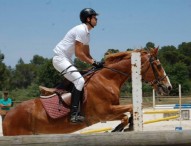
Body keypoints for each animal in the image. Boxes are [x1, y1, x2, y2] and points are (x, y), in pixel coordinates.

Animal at [1, 48, 172, 136]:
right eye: (158, 65)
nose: (168, 87)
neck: (107, 79)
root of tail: (8, 115)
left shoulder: (109, 111)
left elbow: (131, 110)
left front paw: (125, 126)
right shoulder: (105, 113)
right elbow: (129, 110)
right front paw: (121, 128)